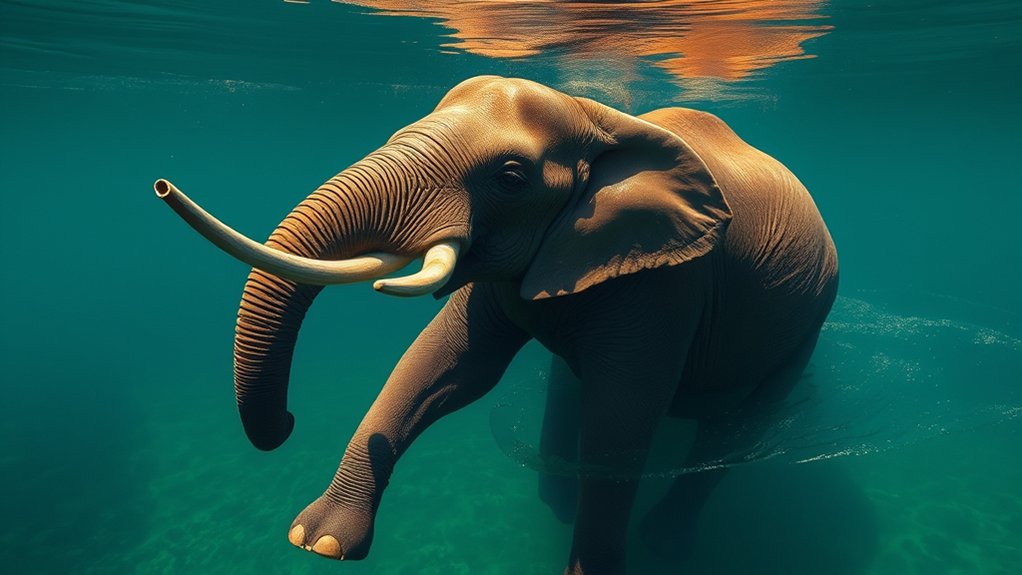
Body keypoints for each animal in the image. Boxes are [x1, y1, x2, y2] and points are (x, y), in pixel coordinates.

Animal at [155, 75, 838, 575]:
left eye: (511, 178)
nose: (286, 424)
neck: (599, 116)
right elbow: (445, 365)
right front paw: (317, 542)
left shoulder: (670, 278)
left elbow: (621, 419)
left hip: (809, 318)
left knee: (738, 422)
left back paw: (664, 542)